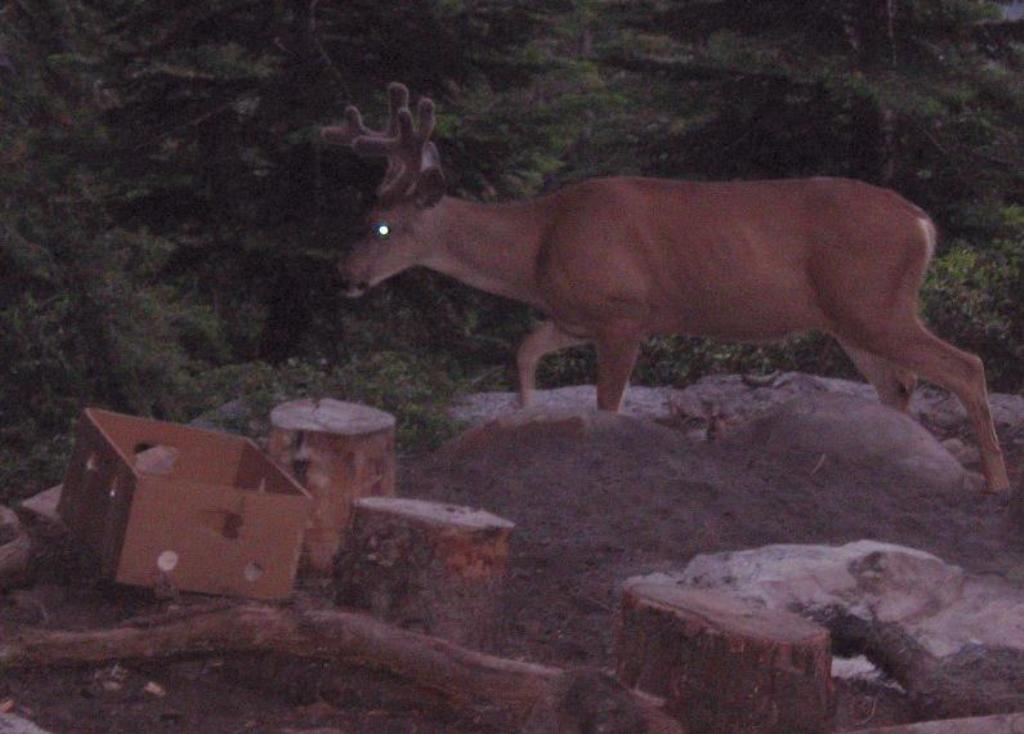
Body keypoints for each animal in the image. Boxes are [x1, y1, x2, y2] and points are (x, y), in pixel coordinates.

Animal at [323, 80, 1011, 493]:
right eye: (362, 214)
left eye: (382, 224)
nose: (346, 277)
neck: (539, 243)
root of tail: (922, 223)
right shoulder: (573, 317)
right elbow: (523, 352)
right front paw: (525, 422)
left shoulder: (626, 312)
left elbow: (608, 403)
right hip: (853, 318)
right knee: (901, 385)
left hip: (872, 301)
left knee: (965, 365)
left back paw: (996, 482)